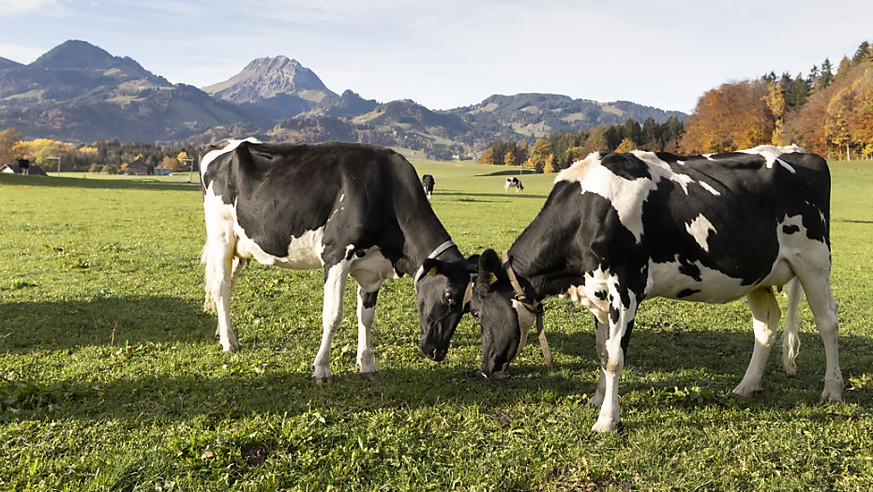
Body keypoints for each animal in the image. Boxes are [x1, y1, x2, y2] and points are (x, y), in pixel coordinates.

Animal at [200, 138, 474, 380]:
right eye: (449, 296)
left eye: (469, 308)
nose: (437, 352)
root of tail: (221, 145)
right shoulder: (336, 255)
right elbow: (333, 316)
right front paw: (322, 368)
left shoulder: (372, 270)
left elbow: (366, 317)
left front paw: (367, 363)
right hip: (221, 235)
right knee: (221, 286)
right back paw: (229, 343)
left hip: (240, 247)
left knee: (226, 286)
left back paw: (224, 333)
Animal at [474, 145, 840, 430]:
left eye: (477, 314)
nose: (486, 369)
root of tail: (803, 153)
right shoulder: (598, 293)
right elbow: (601, 350)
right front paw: (597, 398)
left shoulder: (626, 288)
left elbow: (614, 358)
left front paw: (607, 419)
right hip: (757, 274)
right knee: (765, 326)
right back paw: (747, 386)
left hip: (814, 260)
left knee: (827, 323)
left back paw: (832, 390)